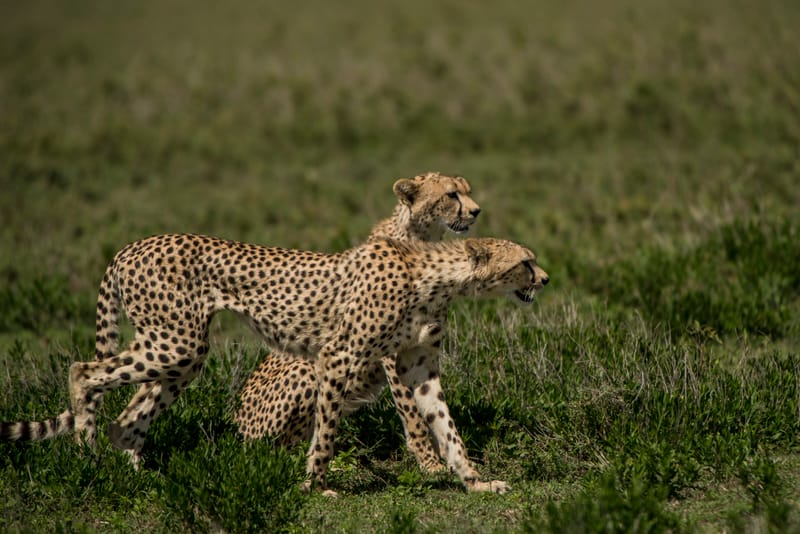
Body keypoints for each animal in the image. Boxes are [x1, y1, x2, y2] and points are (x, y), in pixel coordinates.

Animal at [0, 232, 552, 496]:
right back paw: (87, 454)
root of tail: (131, 246)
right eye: (525, 261)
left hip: (181, 352)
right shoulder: (337, 356)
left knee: (129, 417)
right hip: (175, 341)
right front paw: (315, 487)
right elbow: (327, 434)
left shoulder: (418, 368)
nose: (545, 279)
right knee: (82, 372)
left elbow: (446, 427)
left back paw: (140, 477)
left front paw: (476, 482)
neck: (437, 278)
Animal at [234, 171, 478, 474]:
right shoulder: (391, 355)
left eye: (467, 191)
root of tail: (236, 423)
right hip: (306, 370)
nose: (476, 211)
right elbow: (411, 411)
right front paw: (429, 463)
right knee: (278, 447)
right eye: (451, 194)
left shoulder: (423, 347)